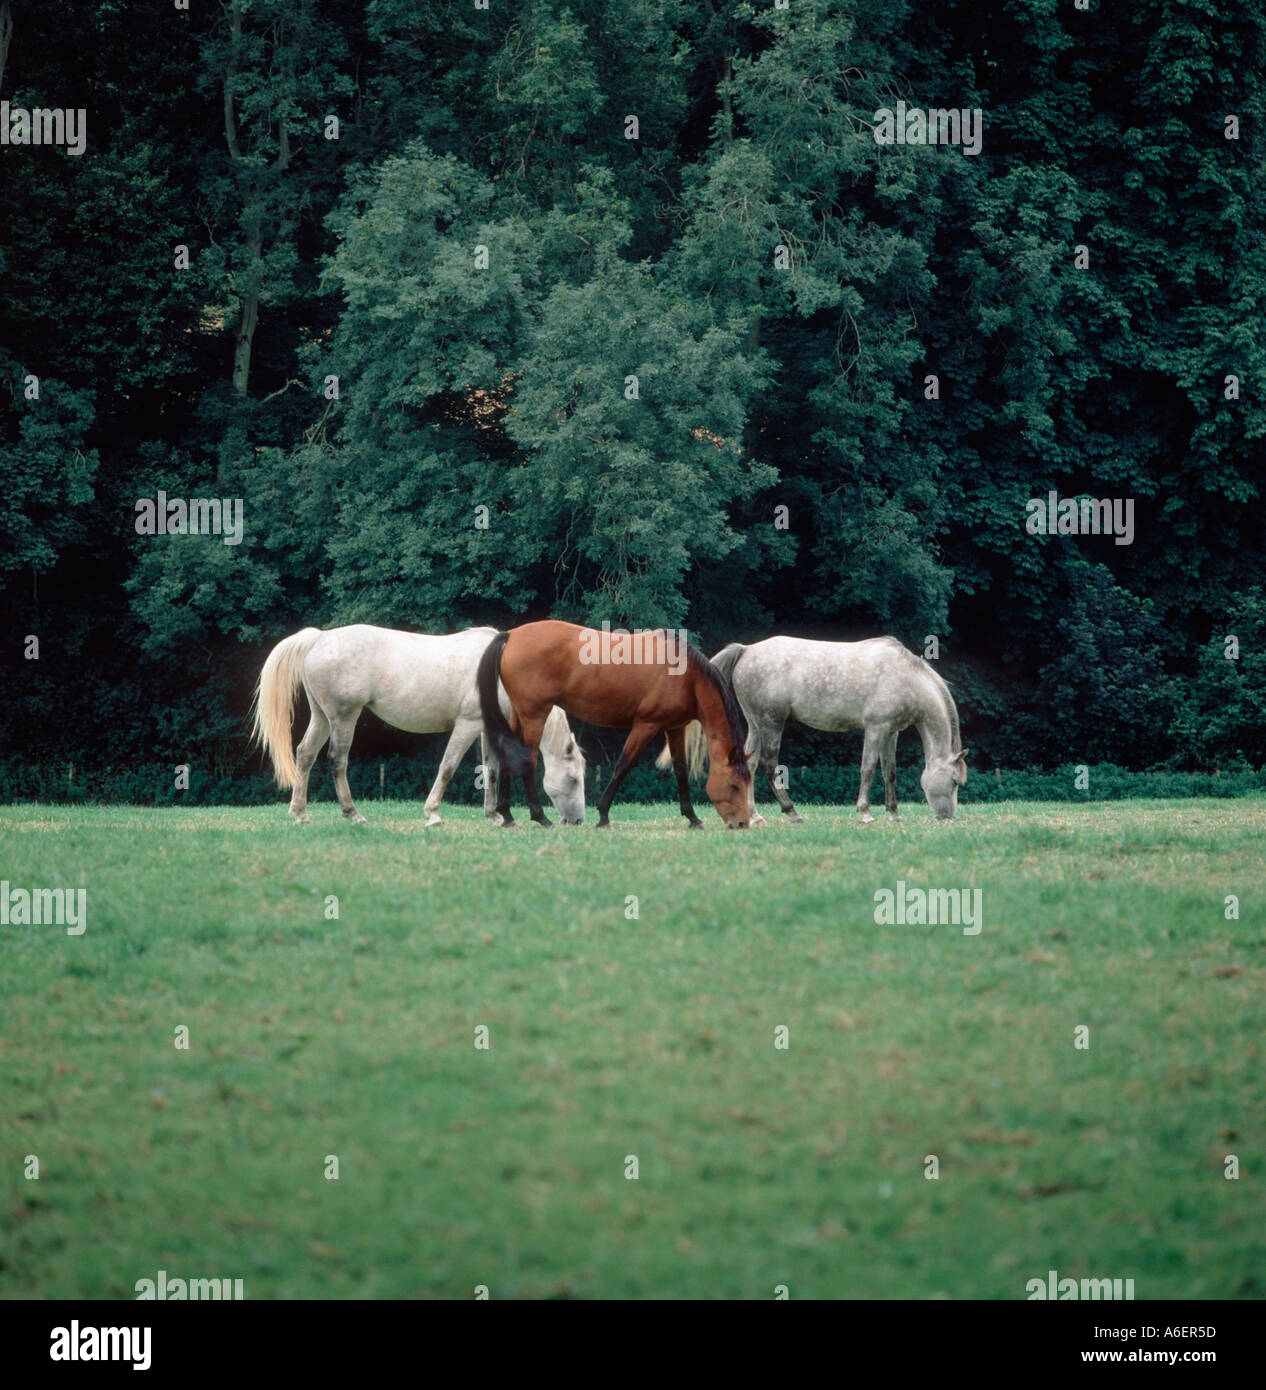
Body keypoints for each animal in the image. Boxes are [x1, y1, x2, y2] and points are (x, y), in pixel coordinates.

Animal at [251, 625, 586, 826]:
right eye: (573, 779)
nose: (578, 820)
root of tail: (319, 637)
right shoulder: (467, 724)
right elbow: (448, 767)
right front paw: (433, 814)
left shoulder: (486, 729)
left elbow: (490, 769)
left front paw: (496, 816)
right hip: (344, 717)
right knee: (337, 760)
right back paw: (353, 814)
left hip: (322, 717)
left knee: (305, 754)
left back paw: (300, 813)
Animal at [475, 620, 752, 828]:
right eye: (735, 785)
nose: (742, 824)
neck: (684, 675)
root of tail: (511, 636)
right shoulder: (645, 725)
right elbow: (623, 766)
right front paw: (603, 815)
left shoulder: (674, 728)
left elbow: (680, 770)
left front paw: (692, 817)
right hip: (534, 715)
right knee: (528, 760)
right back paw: (540, 817)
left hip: (518, 716)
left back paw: (507, 814)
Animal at [658, 635, 968, 823]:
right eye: (954, 781)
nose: (949, 816)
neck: (903, 675)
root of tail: (747, 650)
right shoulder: (876, 729)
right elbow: (867, 769)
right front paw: (865, 812)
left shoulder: (891, 732)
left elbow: (888, 772)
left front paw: (894, 814)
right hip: (771, 723)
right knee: (770, 766)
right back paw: (792, 812)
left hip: (756, 724)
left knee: (751, 764)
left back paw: (755, 815)